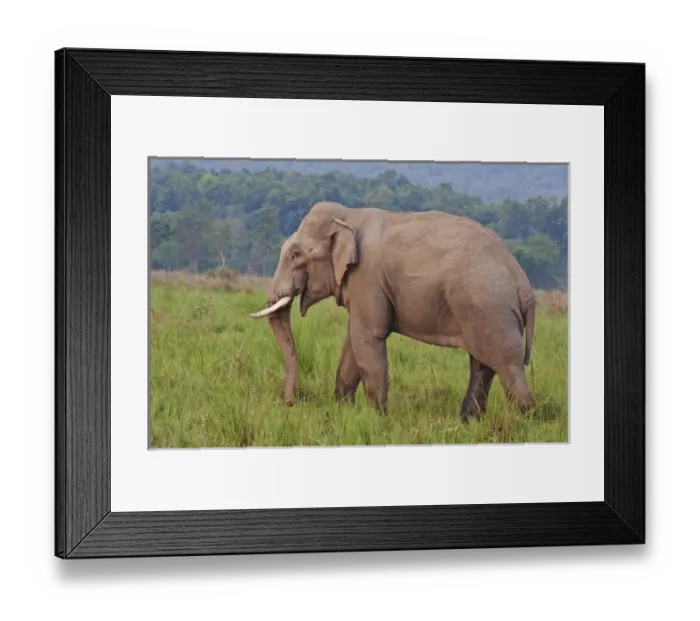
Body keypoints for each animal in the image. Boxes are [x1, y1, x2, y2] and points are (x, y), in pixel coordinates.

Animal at [248, 201, 536, 420]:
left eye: (295, 254)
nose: (290, 404)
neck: (349, 215)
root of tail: (524, 284)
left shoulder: (367, 278)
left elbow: (367, 337)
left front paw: (377, 418)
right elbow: (353, 342)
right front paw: (343, 410)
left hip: (489, 307)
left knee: (505, 363)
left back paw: (522, 421)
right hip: (484, 311)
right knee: (482, 364)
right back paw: (468, 422)